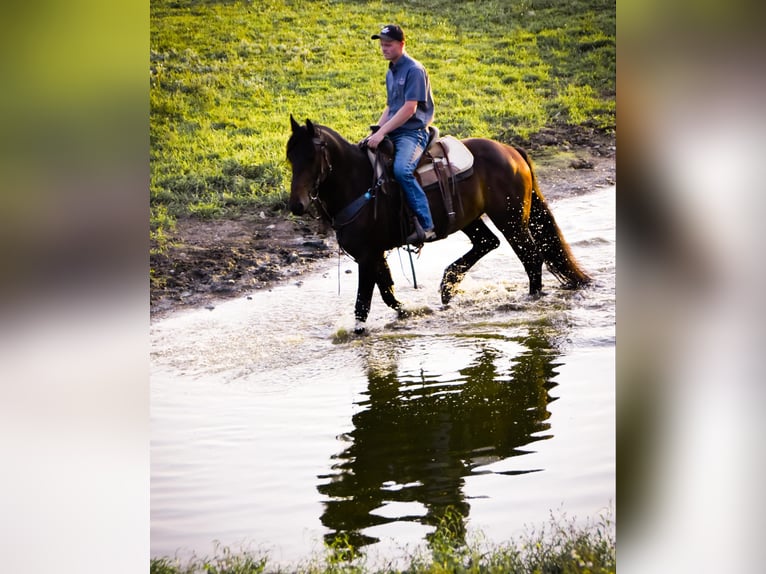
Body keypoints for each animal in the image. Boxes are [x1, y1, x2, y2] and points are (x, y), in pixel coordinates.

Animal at [287, 116, 591, 333]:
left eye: (312, 157)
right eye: (290, 157)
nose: (296, 205)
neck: (360, 184)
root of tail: (510, 151)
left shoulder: (367, 255)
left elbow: (364, 303)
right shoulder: (375, 254)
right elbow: (387, 293)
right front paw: (411, 312)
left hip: (511, 219)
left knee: (531, 257)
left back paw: (530, 299)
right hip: (469, 218)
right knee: (488, 242)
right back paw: (448, 285)